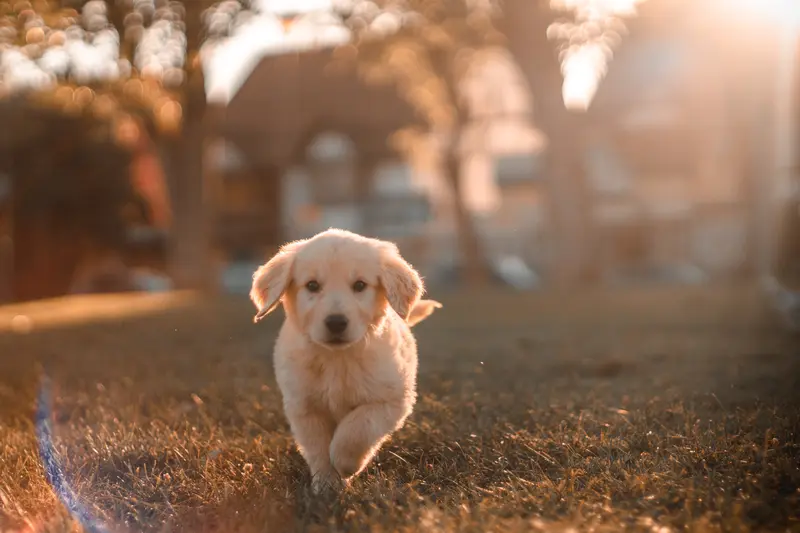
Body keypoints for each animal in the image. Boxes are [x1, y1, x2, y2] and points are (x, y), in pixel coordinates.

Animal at [248, 228, 438, 490]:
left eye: (359, 285)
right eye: (312, 285)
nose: (336, 322)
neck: (337, 358)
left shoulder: (391, 400)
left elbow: (357, 428)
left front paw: (345, 464)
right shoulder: (305, 407)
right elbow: (318, 448)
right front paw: (326, 484)